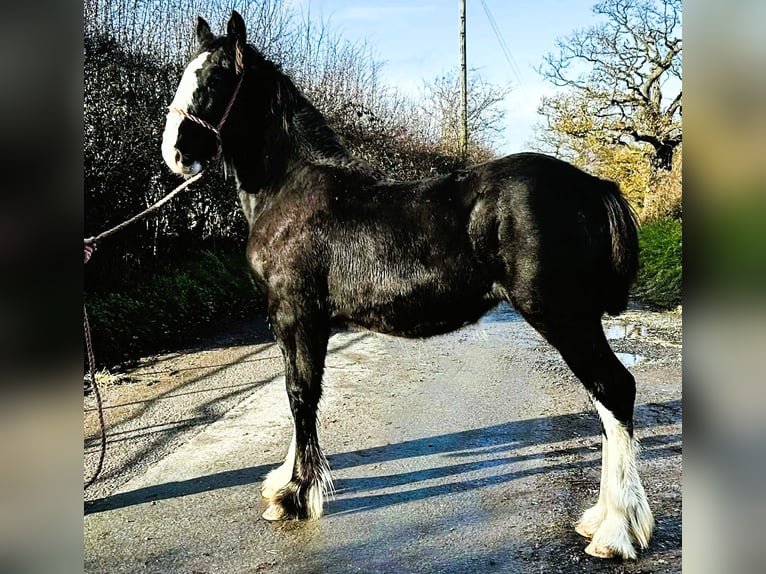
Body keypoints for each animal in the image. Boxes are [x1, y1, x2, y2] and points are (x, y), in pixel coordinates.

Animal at [161, 11, 653, 560]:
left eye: (215, 79)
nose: (175, 152)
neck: (290, 190)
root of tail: (593, 186)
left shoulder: (295, 314)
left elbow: (300, 394)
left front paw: (294, 497)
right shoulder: (303, 321)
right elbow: (303, 392)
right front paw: (284, 482)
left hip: (563, 316)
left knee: (614, 390)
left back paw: (616, 531)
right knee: (606, 401)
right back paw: (601, 520)